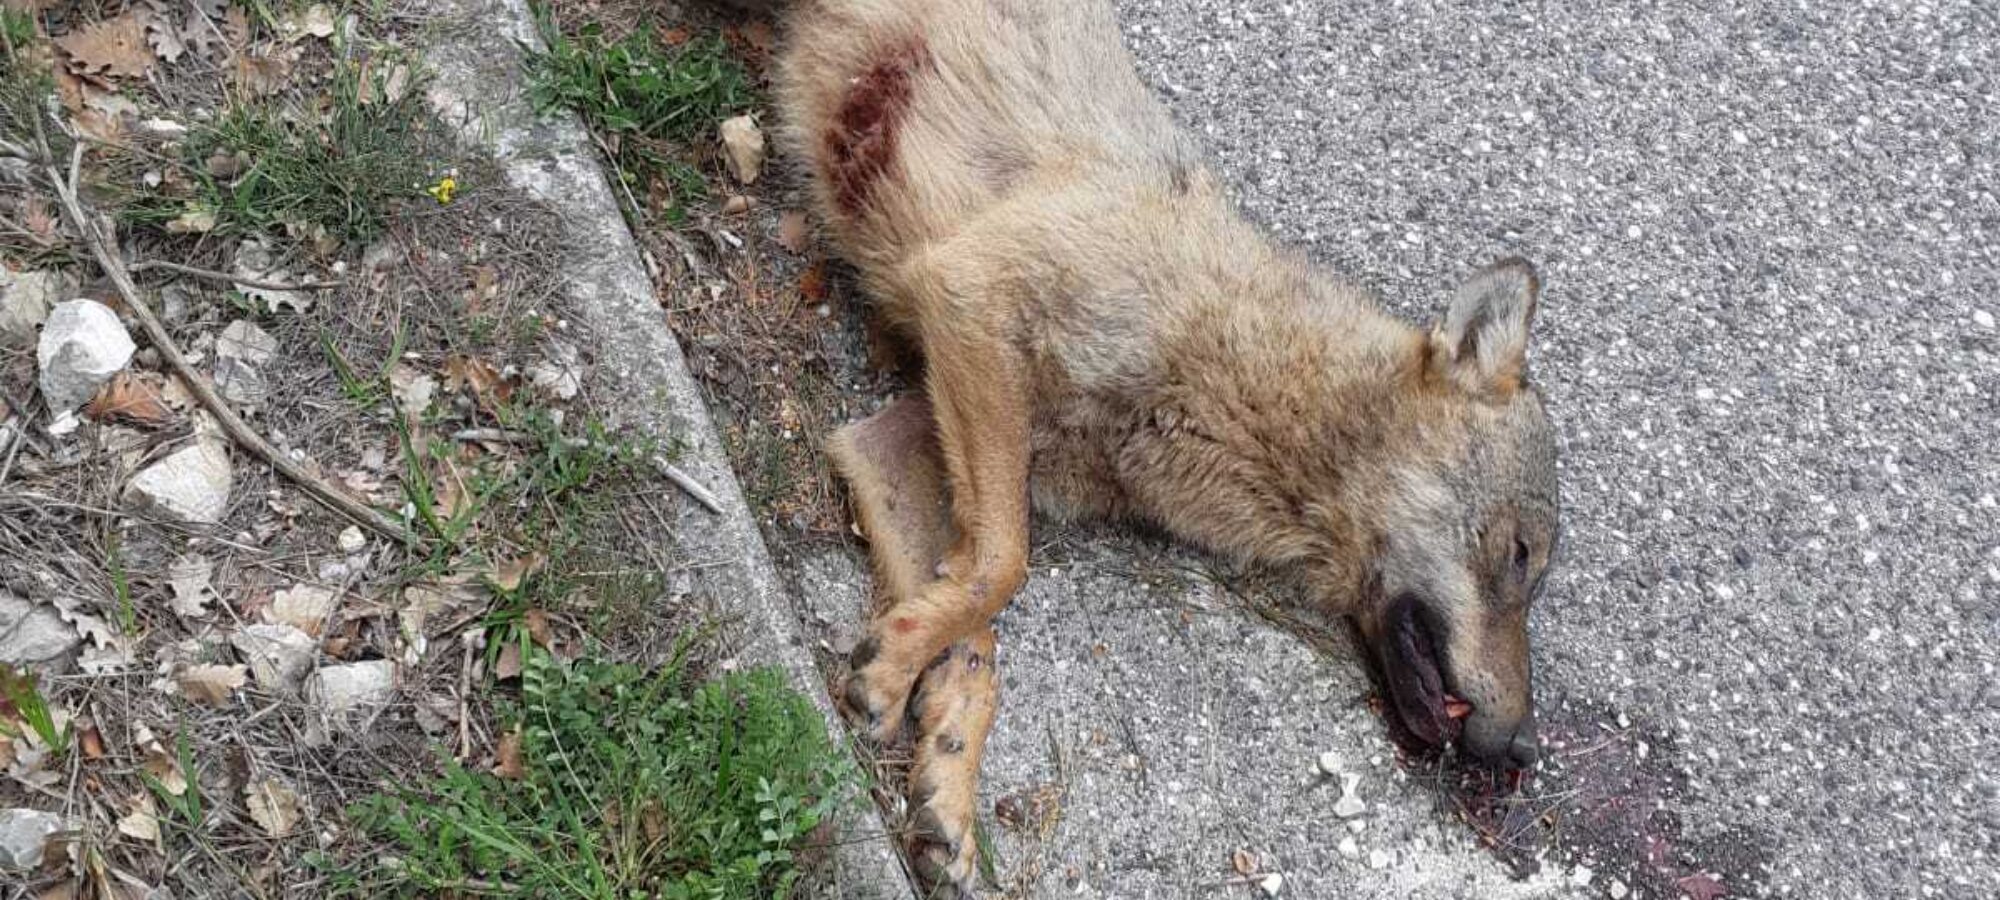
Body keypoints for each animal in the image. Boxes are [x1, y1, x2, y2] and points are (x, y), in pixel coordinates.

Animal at [751, 0, 1562, 893]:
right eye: (1520, 555)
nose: (1525, 748)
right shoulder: (971, 300)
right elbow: (1004, 569)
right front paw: (901, 682)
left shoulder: (893, 435)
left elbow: (975, 641)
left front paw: (941, 774)